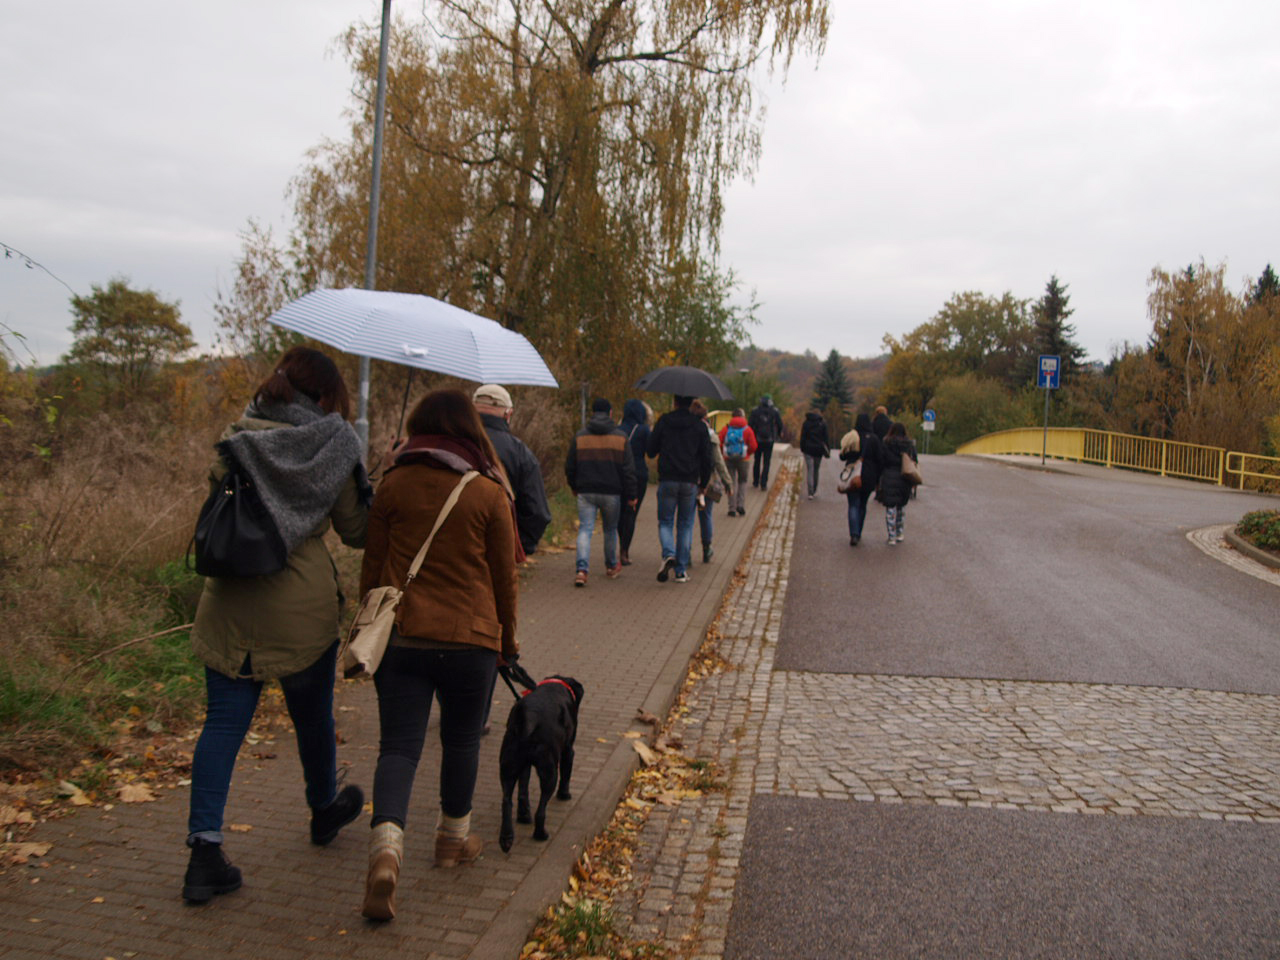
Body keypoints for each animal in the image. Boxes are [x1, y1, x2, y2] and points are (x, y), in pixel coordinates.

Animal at [496, 670, 583, 855]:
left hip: (508, 765)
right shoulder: (568, 751)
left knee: (507, 801)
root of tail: (529, 718)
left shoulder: (524, 765)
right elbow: (566, 775)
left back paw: (508, 836)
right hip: (549, 771)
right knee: (541, 811)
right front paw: (565, 795)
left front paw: (523, 813)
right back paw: (540, 834)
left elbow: (523, 788)